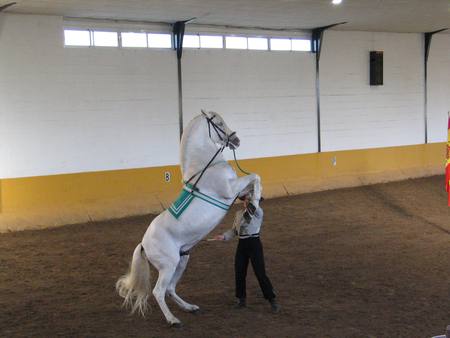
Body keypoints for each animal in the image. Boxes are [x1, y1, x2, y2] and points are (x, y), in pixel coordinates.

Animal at [116, 111, 262, 328]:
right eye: (219, 123)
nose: (236, 140)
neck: (205, 167)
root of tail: (143, 244)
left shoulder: (237, 191)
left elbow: (251, 185)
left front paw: (252, 204)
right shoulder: (230, 190)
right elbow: (255, 176)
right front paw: (255, 202)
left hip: (182, 260)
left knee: (170, 289)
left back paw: (189, 307)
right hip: (168, 265)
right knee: (159, 291)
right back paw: (173, 320)